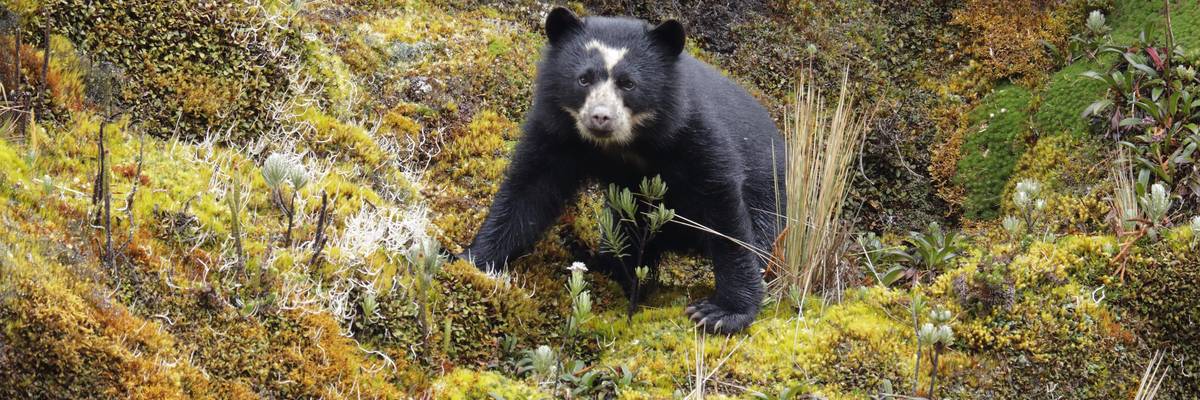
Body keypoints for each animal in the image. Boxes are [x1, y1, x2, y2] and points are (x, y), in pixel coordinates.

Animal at [460, 7, 785, 334]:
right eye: (583, 79)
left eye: (628, 83)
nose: (600, 117)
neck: (627, 144)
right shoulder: (558, 132)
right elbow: (530, 190)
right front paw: (470, 259)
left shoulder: (693, 131)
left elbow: (722, 207)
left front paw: (719, 312)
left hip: (774, 197)